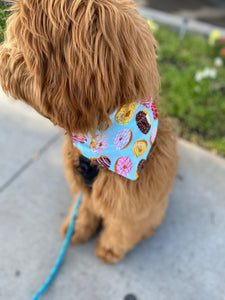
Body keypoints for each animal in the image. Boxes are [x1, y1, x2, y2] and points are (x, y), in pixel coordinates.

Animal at [0, 0, 178, 262]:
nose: (1, 58)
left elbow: (122, 229)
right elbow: (84, 208)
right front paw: (77, 230)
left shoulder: (131, 206)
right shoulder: (82, 188)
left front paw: (109, 249)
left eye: (19, 43)